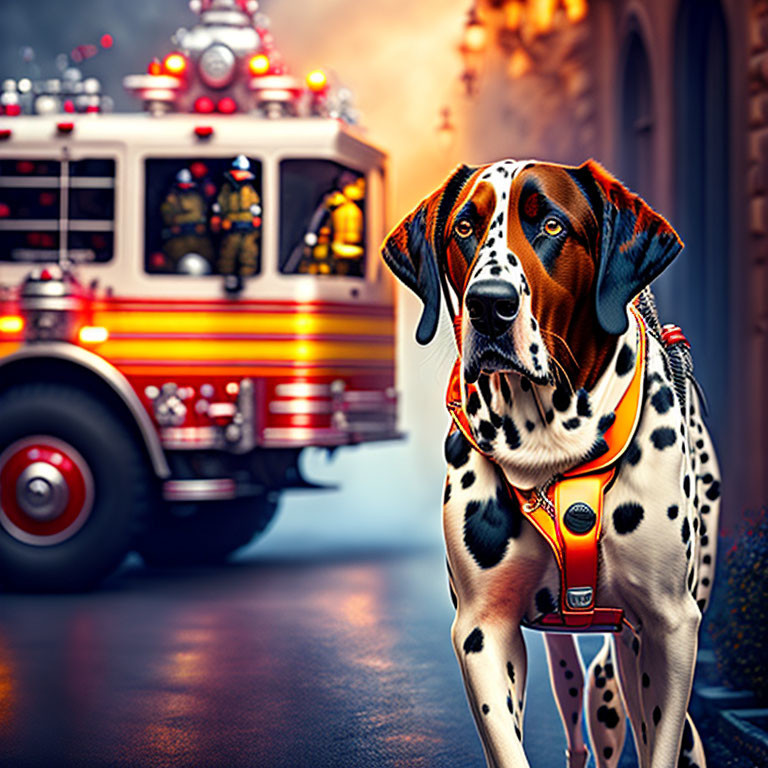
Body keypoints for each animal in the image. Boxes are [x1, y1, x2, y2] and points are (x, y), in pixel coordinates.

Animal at [382, 158, 720, 768]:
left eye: (553, 225)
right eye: (464, 227)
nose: (490, 305)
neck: (548, 444)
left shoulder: (671, 628)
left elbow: (662, 742)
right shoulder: (483, 629)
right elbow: (507, 743)